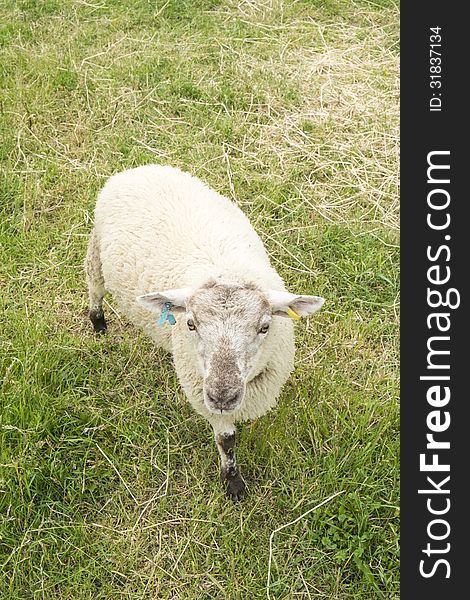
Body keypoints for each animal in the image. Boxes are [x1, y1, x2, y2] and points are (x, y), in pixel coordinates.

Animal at [84, 162, 324, 500]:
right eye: (190, 323)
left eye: (265, 326)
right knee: (95, 286)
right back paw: (98, 323)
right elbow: (227, 441)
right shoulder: (206, 398)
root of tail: (138, 168)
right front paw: (233, 483)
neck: (227, 268)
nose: (222, 395)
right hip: (96, 249)